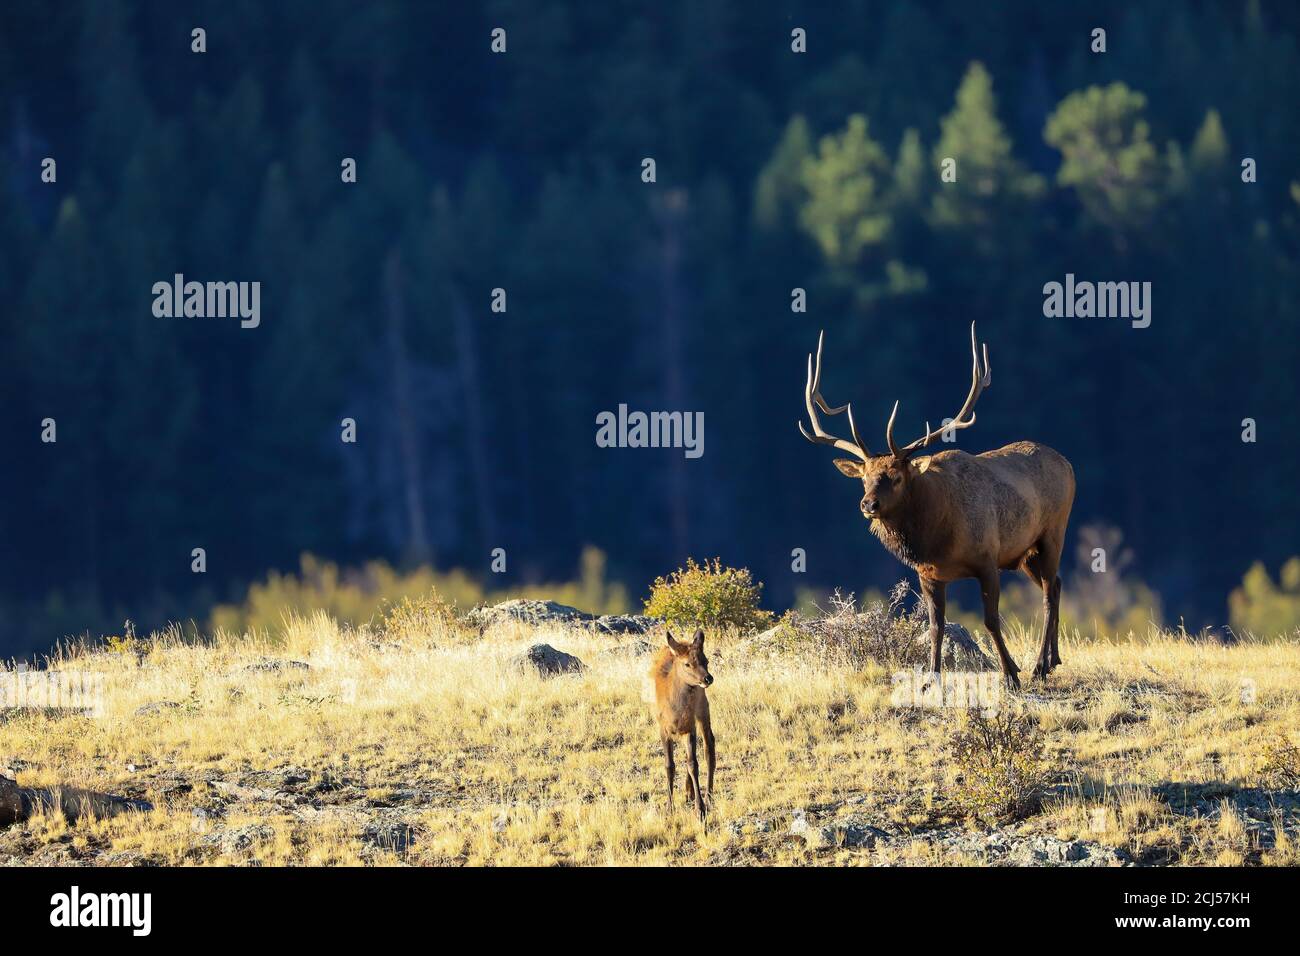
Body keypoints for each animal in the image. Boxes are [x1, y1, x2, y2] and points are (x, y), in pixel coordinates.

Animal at [651, 629, 715, 820]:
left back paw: (708, 796)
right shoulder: (663, 728)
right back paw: (688, 793)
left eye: (706, 660)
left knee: (709, 745)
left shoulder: (690, 725)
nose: (708, 678)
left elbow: (693, 764)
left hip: (703, 709)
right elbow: (669, 765)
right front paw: (669, 807)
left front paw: (700, 809)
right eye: (687, 664)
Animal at [798, 323, 1075, 689]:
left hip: (1053, 531)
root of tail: (1068, 464)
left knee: (1047, 593)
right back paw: (1053, 660)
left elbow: (990, 620)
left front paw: (1010, 675)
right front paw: (930, 679)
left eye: (895, 476)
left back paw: (1039, 666)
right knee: (1054, 584)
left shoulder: (988, 559)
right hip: (1025, 552)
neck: (937, 537)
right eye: (864, 477)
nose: (868, 504)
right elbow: (935, 626)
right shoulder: (928, 574)